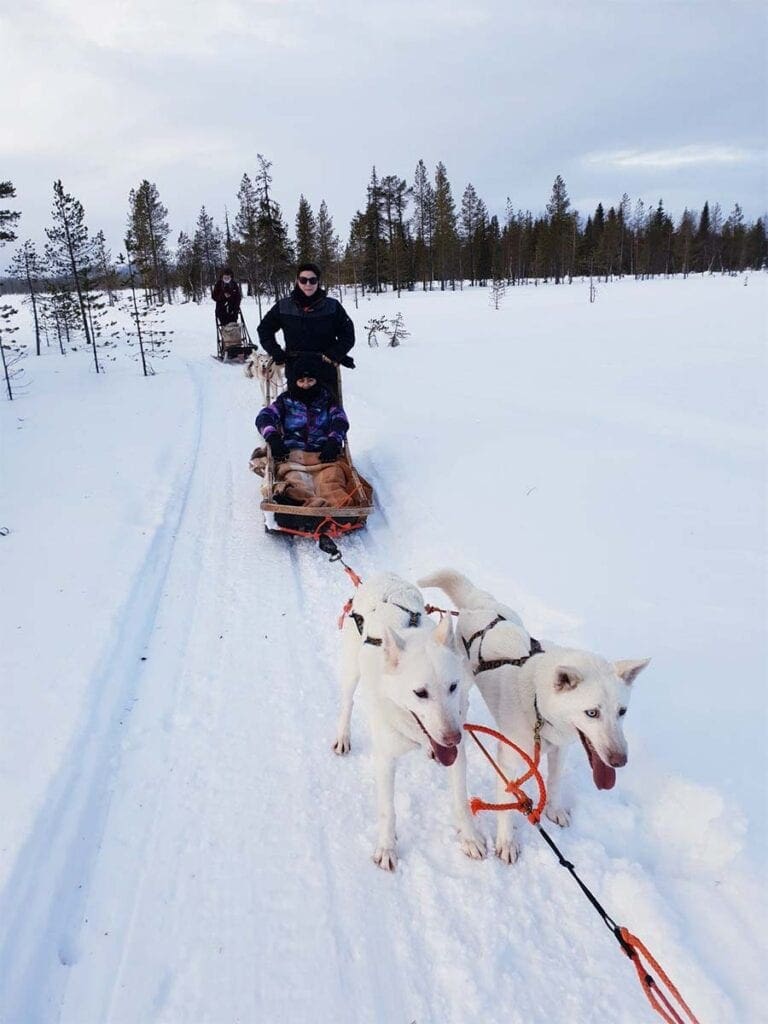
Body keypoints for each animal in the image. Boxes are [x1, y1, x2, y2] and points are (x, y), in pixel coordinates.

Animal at [331, 573, 487, 868]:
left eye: (453, 686)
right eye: (420, 693)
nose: (453, 737)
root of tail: (382, 577)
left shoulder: (457, 755)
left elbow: (461, 801)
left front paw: (470, 837)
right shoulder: (385, 759)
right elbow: (387, 810)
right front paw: (386, 847)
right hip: (350, 671)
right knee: (346, 703)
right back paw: (342, 736)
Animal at [417, 569, 651, 864]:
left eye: (622, 711)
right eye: (592, 713)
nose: (620, 761)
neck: (538, 707)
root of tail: (480, 602)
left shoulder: (560, 749)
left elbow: (554, 781)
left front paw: (554, 809)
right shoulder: (507, 759)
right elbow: (507, 805)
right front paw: (507, 842)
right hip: (463, 678)